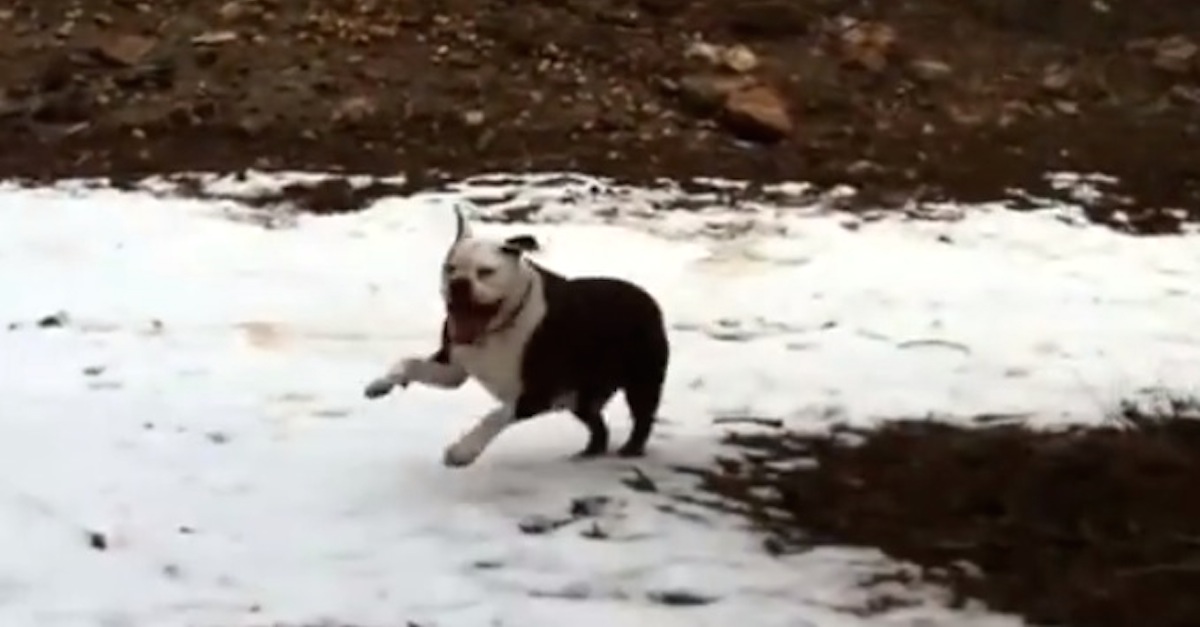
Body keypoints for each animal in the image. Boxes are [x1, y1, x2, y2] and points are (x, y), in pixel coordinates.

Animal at [360, 202, 672, 466]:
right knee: (598, 425)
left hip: (640, 380)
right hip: (582, 397)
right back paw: (587, 454)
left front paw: (464, 450)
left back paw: (630, 450)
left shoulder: (537, 393)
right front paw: (382, 383)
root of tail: (648, 299)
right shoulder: (453, 369)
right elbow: (409, 363)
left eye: (486, 271)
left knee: (643, 418)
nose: (459, 284)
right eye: (449, 267)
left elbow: (497, 414)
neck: (497, 328)